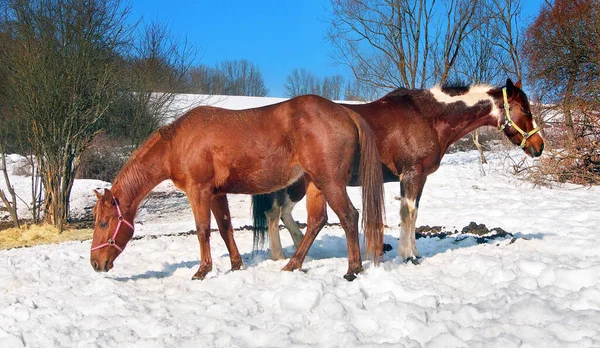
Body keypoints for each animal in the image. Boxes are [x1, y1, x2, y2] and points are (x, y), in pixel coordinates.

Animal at [91, 95, 386, 280]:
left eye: (104, 223)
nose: (95, 264)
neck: (178, 143)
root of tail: (345, 112)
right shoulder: (217, 194)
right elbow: (224, 228)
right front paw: (235, 265)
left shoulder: (199, 192)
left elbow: (203, 231)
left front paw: (202, 271)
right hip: (315, 184)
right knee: (316, 221)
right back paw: (292, 264)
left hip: (330, 182)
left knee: (349, 216)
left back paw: (352, 269)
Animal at [252, 79, 544, 262]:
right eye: (525, 109)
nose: (539, 146)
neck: (428, 117)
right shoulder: (412, 175)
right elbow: (408, 213)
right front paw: (408, 254)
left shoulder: (419, 178)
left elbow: (414, 214)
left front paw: (414, 251)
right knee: (275, 213)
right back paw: (281, 255)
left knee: (281, 213)